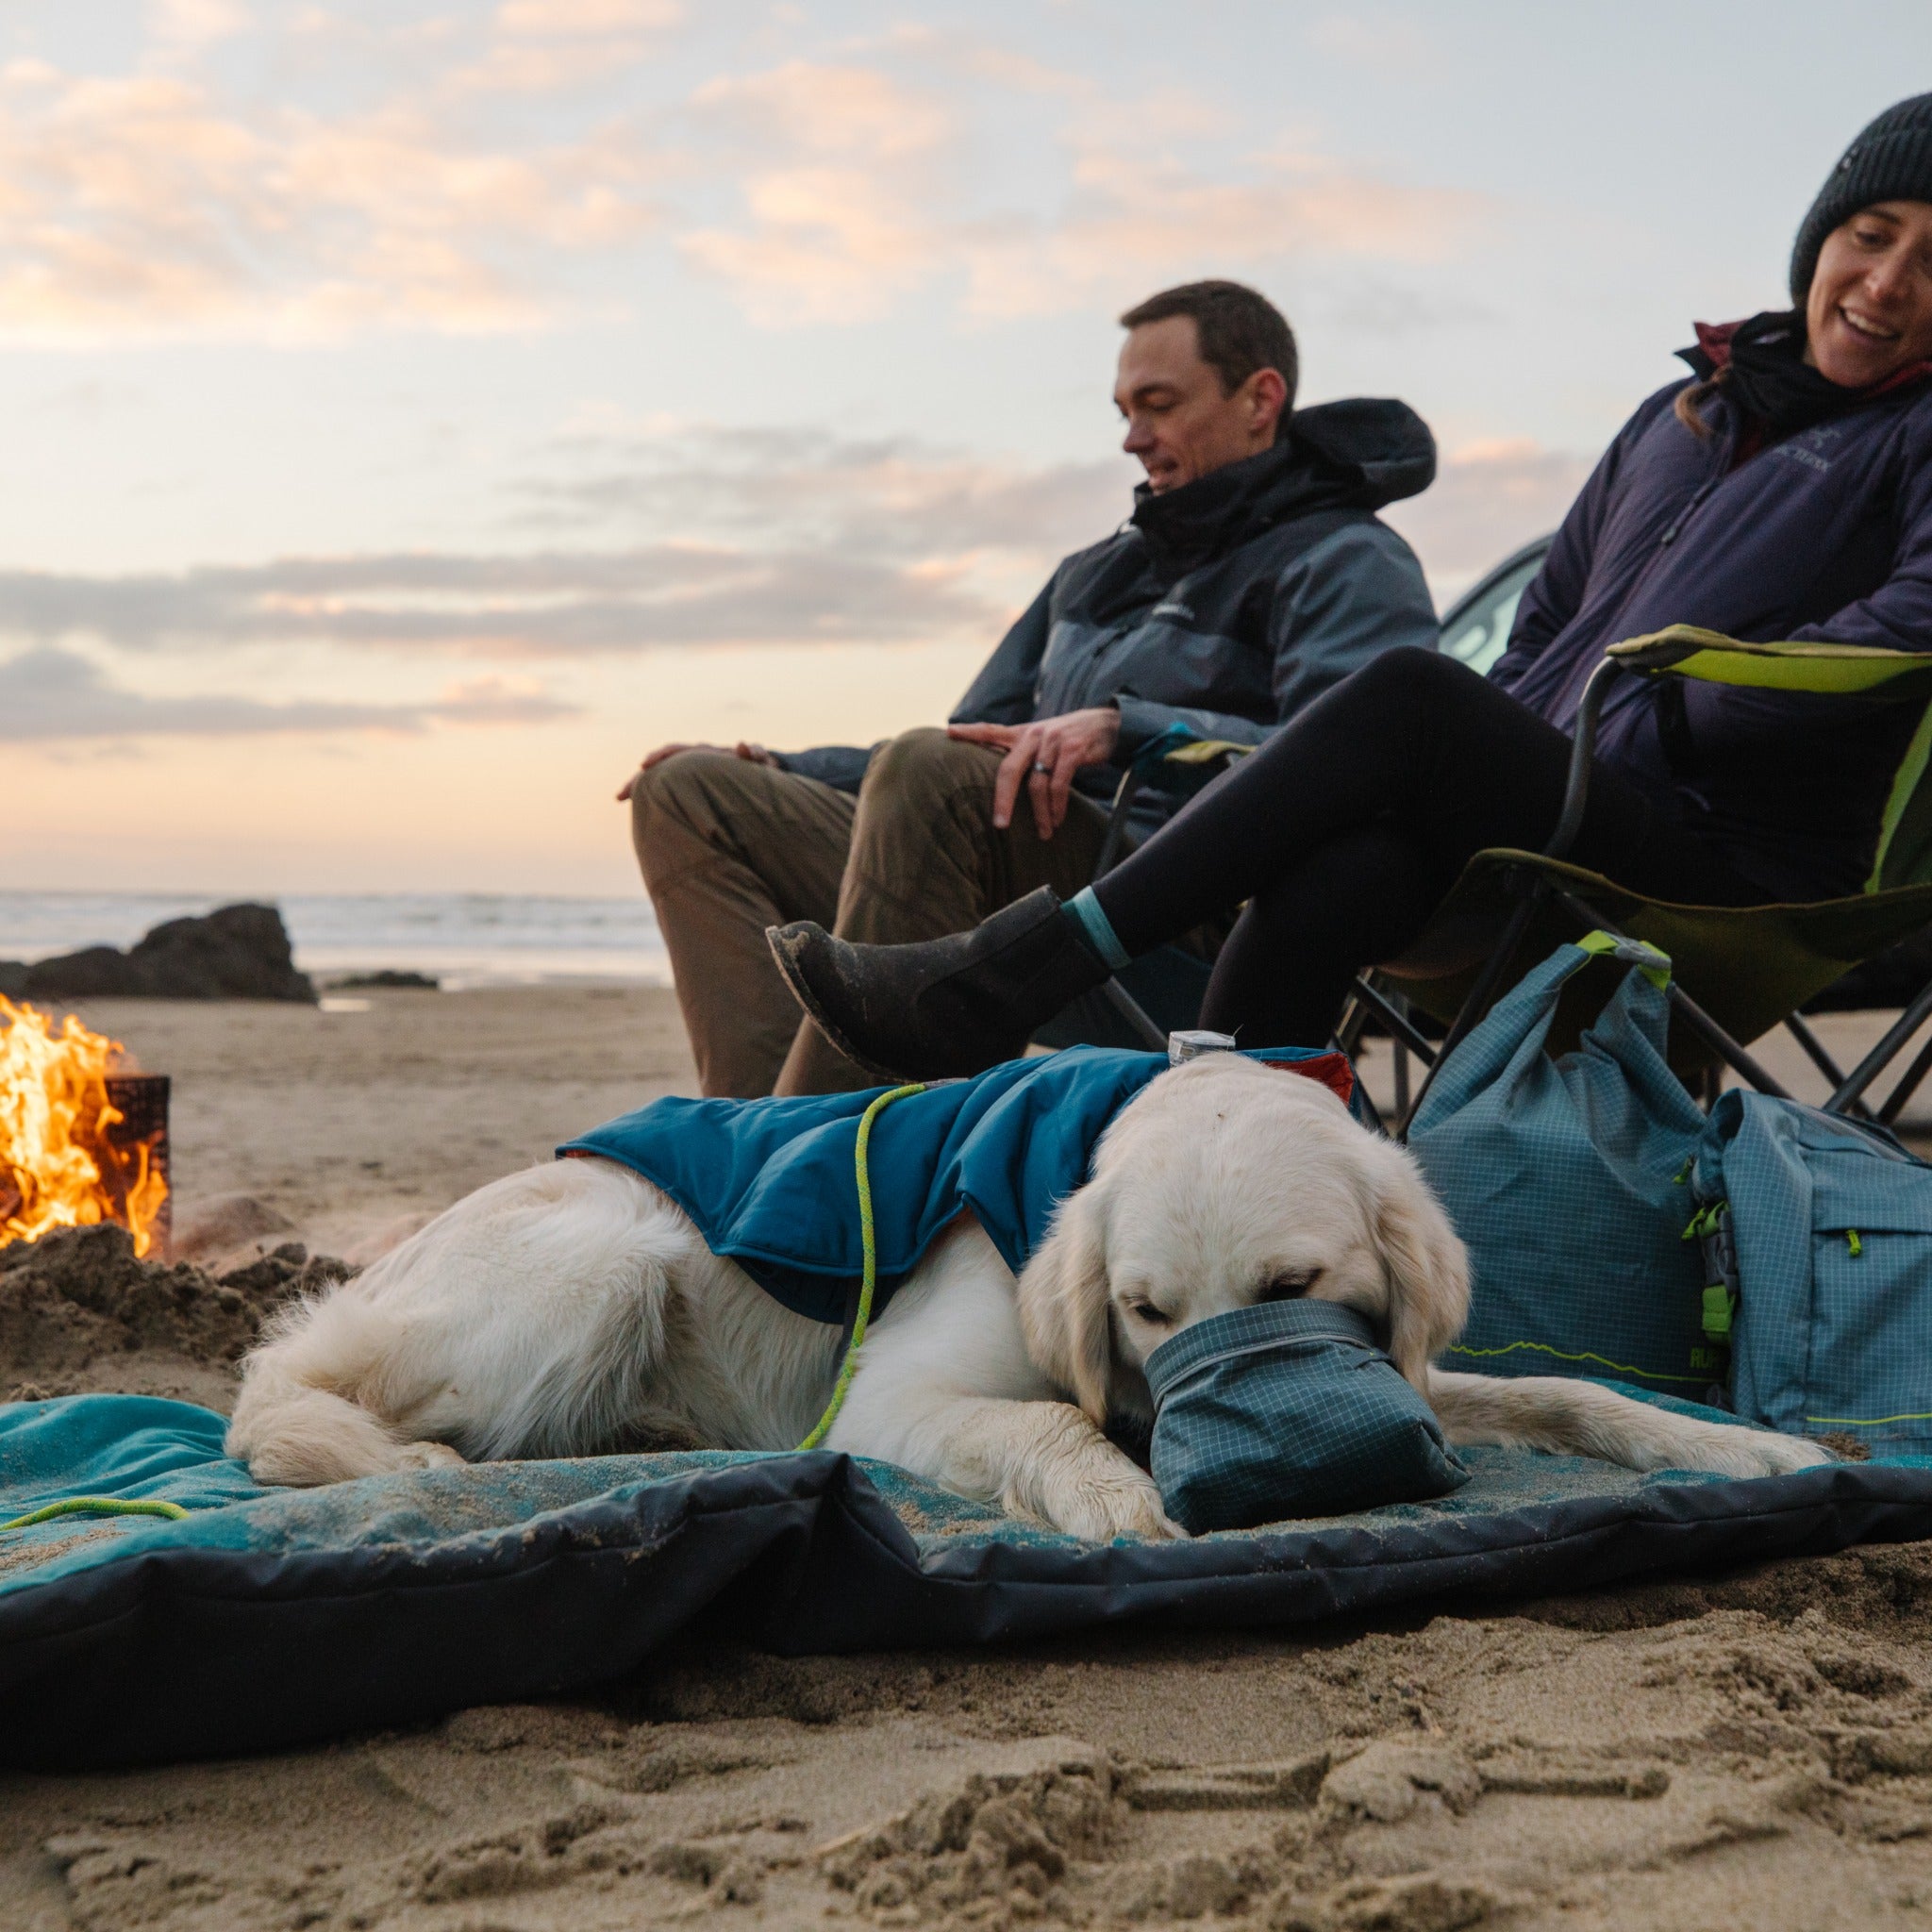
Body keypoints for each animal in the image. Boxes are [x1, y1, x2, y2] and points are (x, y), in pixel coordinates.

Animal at [225, 1058, 1824, 1538]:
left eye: (1295, 1286)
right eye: (1142, 1311)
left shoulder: (1414, 1365)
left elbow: (1574, 1390)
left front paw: (1741, 1446)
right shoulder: (895, 1391)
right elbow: (1048, 1424)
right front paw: (1123, 1495)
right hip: (613, 1258)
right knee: (291, 1411)